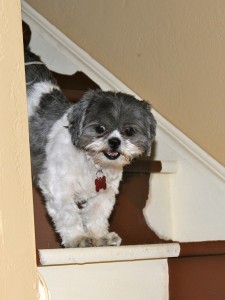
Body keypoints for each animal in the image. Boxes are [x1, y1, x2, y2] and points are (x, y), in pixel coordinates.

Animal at [24, 48, 156, 246]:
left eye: (129, 131)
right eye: (100, 128)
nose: (114, 141)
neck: (92, 163)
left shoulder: (105, 191)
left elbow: (97, 213)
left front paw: (98, 236)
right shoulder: (58, 186)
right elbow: (68, 214)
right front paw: (77, 238)